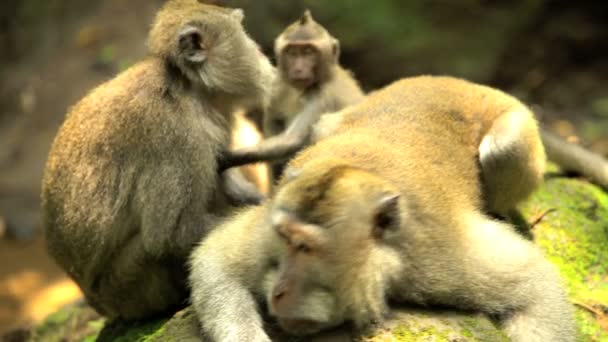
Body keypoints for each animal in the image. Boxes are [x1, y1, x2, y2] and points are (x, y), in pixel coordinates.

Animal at [39, 0, 308, 320]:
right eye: (242, 33)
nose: (259, 53)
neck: (188, 88)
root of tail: (99, 304)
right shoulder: (176, 137)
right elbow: (169, 235)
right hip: (130, 288)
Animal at [190, 75, 576, 342]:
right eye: (284, 239)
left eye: (306, 247)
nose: (279, 292)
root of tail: (455, 81)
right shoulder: (271, 220)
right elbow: (216, 261)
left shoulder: (441, 257)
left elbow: (537, 285)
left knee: (503, 147)